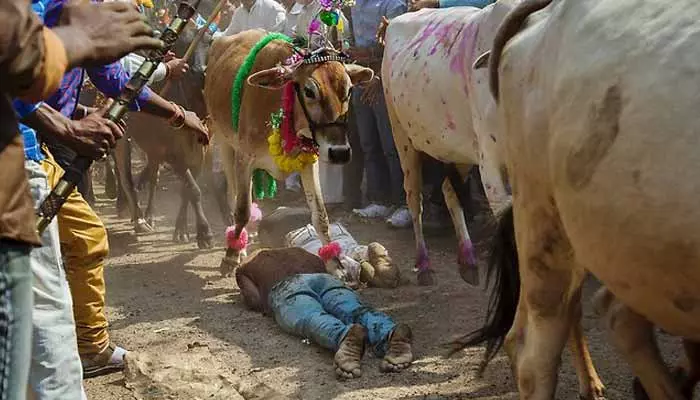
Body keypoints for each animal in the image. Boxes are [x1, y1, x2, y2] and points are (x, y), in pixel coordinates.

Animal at [204, 28, 374, 278]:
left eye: (349, 89)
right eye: (309, 90)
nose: (340, 152)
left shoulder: (310, 162)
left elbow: (320, 215)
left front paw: (334, 262)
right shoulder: (244, 158)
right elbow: (242, 209)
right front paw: (231, 257)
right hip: (223, 140)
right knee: (232, 194)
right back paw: (238, 245)